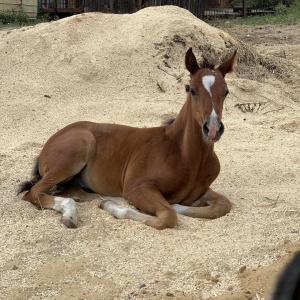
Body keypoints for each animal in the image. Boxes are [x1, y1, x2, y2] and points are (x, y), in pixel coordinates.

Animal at [18, 47, 237, 230]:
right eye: (191, 90)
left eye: (226, 92)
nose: (212, 129)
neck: (184, 155)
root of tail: (51, 140)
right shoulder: (137, 187)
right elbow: (168, 216)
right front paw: (115, 207)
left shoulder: (202, 190)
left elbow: (222, 205)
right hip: (73, 155)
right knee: (35, 193)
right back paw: (71, 215)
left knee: (68, 192)